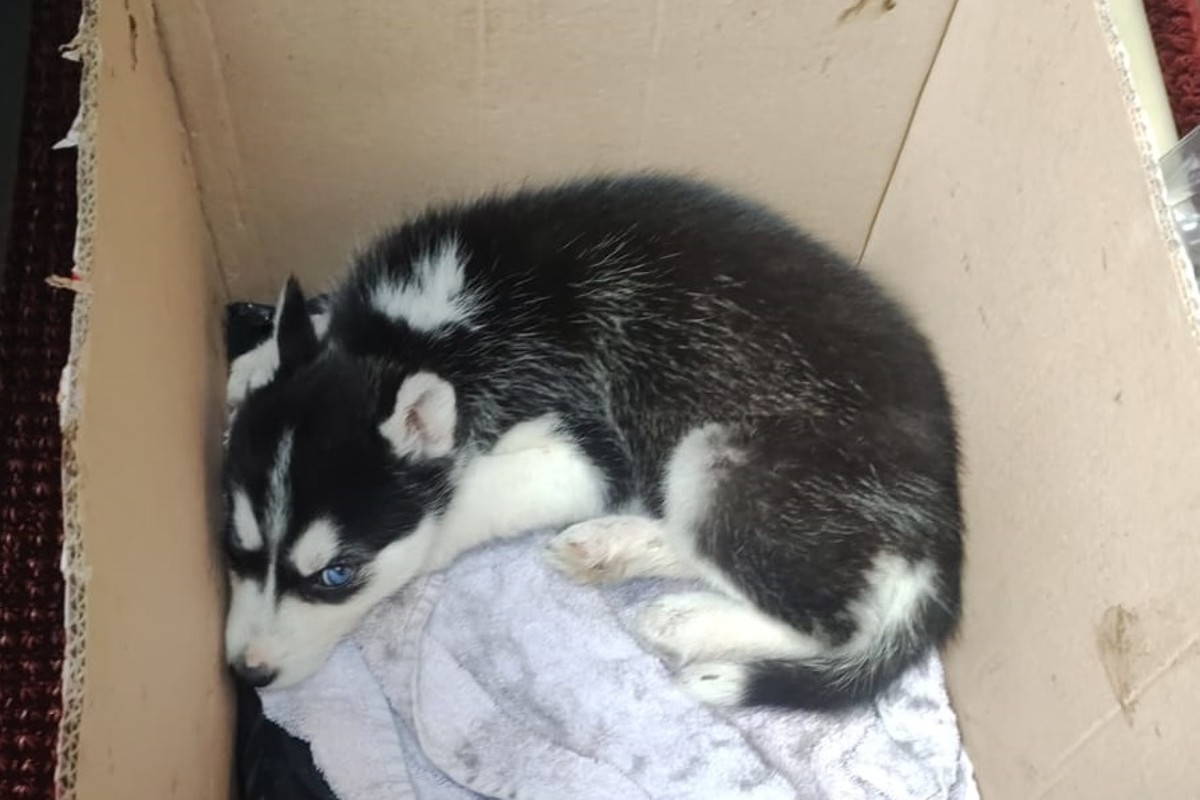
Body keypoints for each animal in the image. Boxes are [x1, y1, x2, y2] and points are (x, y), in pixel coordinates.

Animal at [221, 174, 964, 710]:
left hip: (723, 457)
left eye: (336, 575)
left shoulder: (584, 441)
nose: (247, 675)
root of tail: (943, 521)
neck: (411, 338)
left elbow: (464, 502)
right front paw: (254, 359)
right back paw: (618, 545)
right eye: (235, 547)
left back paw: (691, 620)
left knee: (828, 620)